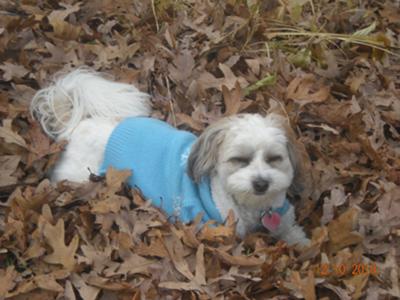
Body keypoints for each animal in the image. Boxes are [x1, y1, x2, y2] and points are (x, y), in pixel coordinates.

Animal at [31, 69, 310, 245]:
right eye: (239, 160)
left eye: (275, 158)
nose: (261, 183)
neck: (249, 207)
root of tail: (80, 124)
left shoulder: (282, 216)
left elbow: (294, 234)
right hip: (78, 176)